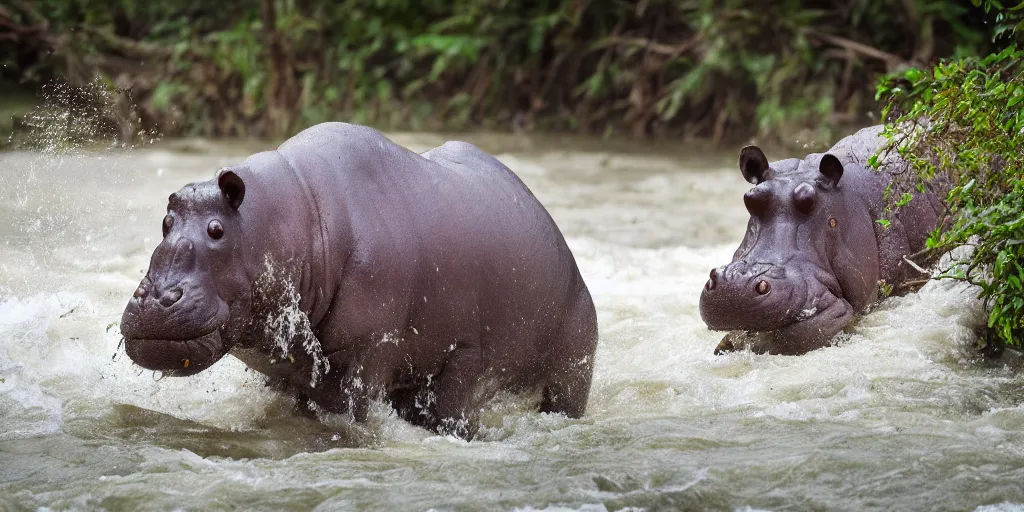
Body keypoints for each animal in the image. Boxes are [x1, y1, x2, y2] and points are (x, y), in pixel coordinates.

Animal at [119, 121, 598, 438]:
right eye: (166, 222)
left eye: (217, 229)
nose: (155, 297)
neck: (300, 218)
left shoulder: (367, 354)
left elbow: (357, 409)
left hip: (568, 369)